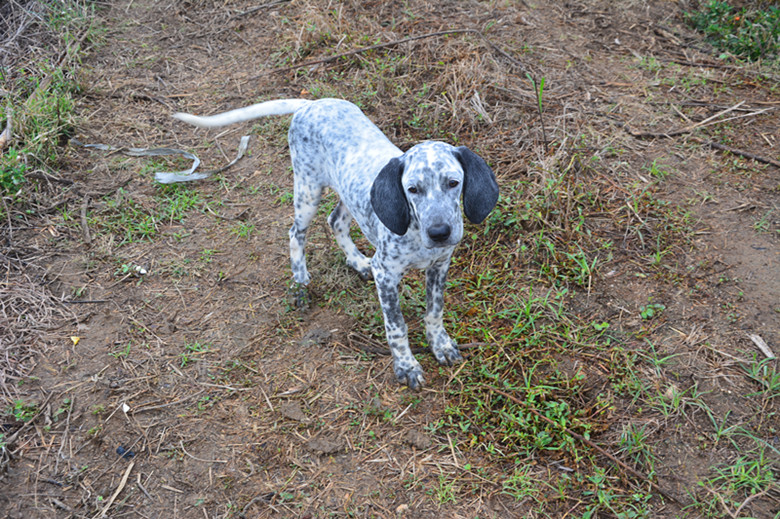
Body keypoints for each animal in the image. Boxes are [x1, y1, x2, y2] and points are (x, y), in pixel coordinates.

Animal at [173, 98, 496, 390]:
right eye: (412, 189)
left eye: (453, 183)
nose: (440, 232)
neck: (417, 234)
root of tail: (311, 103)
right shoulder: (386, 275)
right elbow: (397, 327)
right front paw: (406, 366)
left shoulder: (440, 266)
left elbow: (434, 311)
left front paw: (440, 345)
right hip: (307, 191)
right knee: (295, 233)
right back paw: (300, 282)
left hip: (346, 193)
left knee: (335, 221)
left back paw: (358, 262)